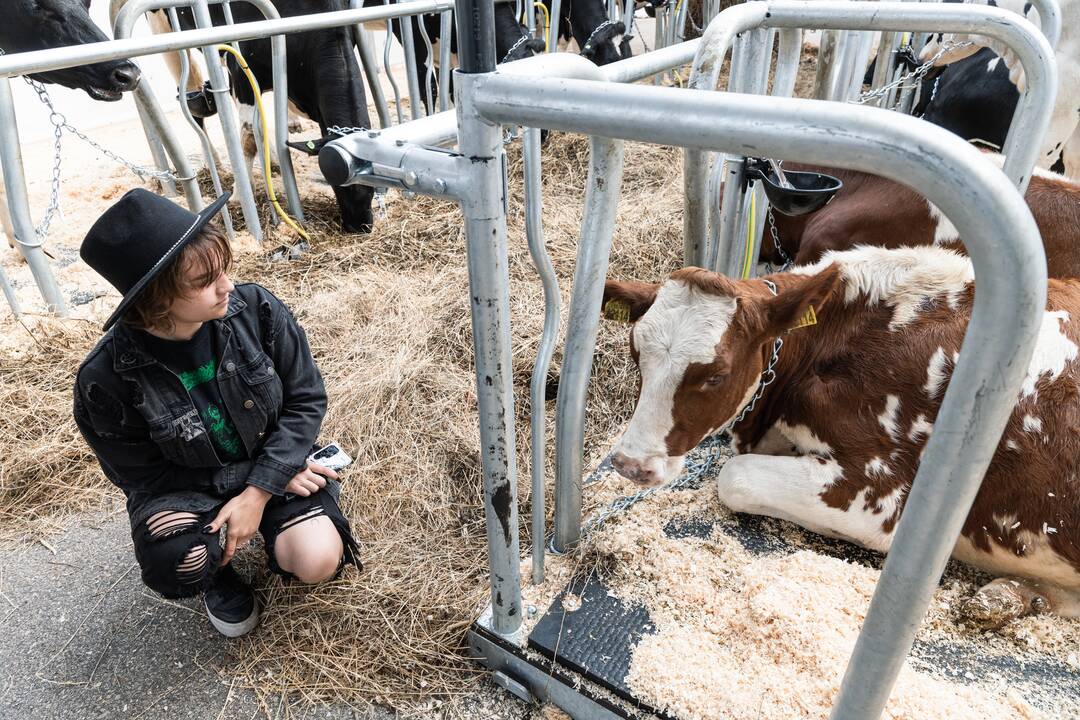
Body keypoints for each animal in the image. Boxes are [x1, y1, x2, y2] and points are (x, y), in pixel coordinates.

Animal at [604, 245, 1080, 626]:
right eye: (636, 353)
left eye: (716, 375)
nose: (631, 464)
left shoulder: (882, 495)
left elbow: (734, 478)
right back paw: (1008, 597)